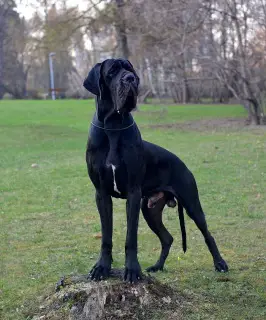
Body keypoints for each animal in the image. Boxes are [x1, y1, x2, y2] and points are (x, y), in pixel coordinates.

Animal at [83, 57, 229, 282]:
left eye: (130, 69)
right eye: (112, 71)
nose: (130, 79)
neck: (113, 125)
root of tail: (183, 164)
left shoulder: (133, 194)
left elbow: (131, 237)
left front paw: (132, 270)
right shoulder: (102, 194)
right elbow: (106, 237)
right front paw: (101, 268)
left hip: (191, 204)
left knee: (207, 234)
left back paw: (220, 263)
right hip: (150, 209)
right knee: (167, 238)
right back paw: (157, 266)